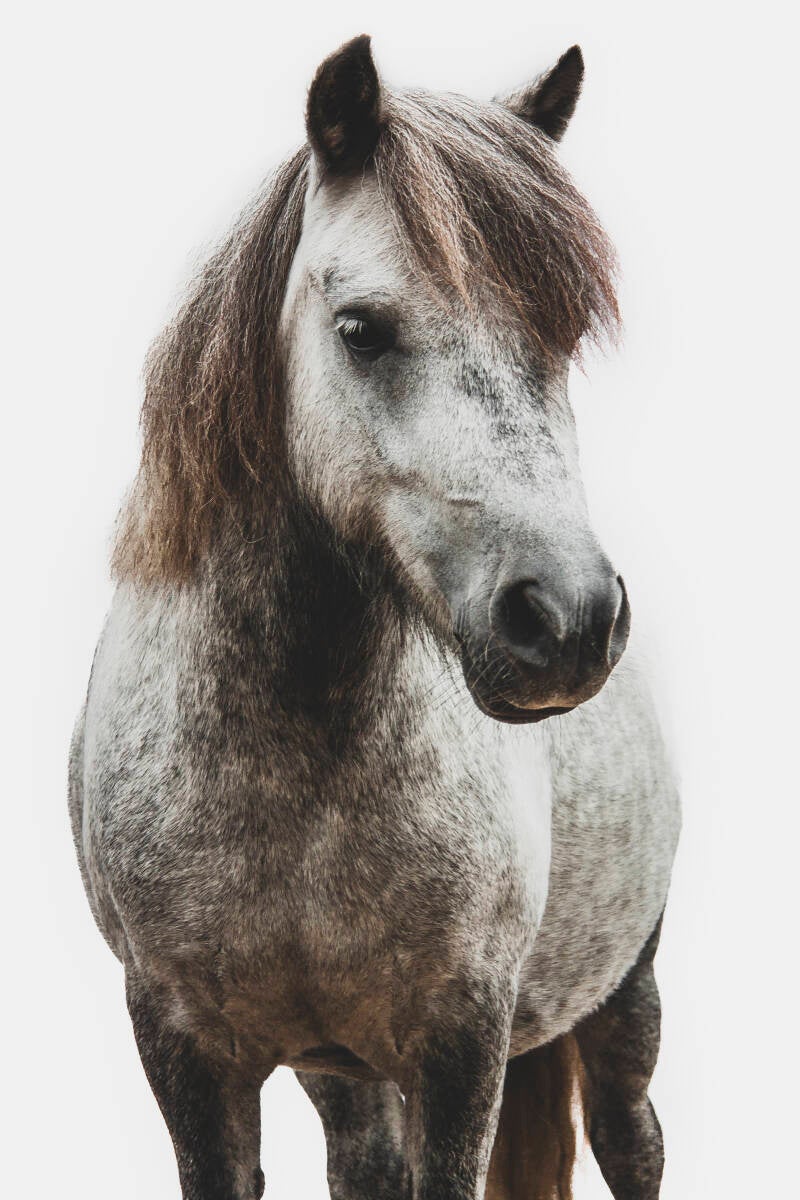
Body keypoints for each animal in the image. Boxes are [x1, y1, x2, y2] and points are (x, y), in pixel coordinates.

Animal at [68, 34, 680, 1200]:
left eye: (563, 336)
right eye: (361, 329)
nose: (568, 620)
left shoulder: (461, 1047)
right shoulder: (186, 1053)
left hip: (623, 992)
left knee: (632, 1142)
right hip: (339, 1068)